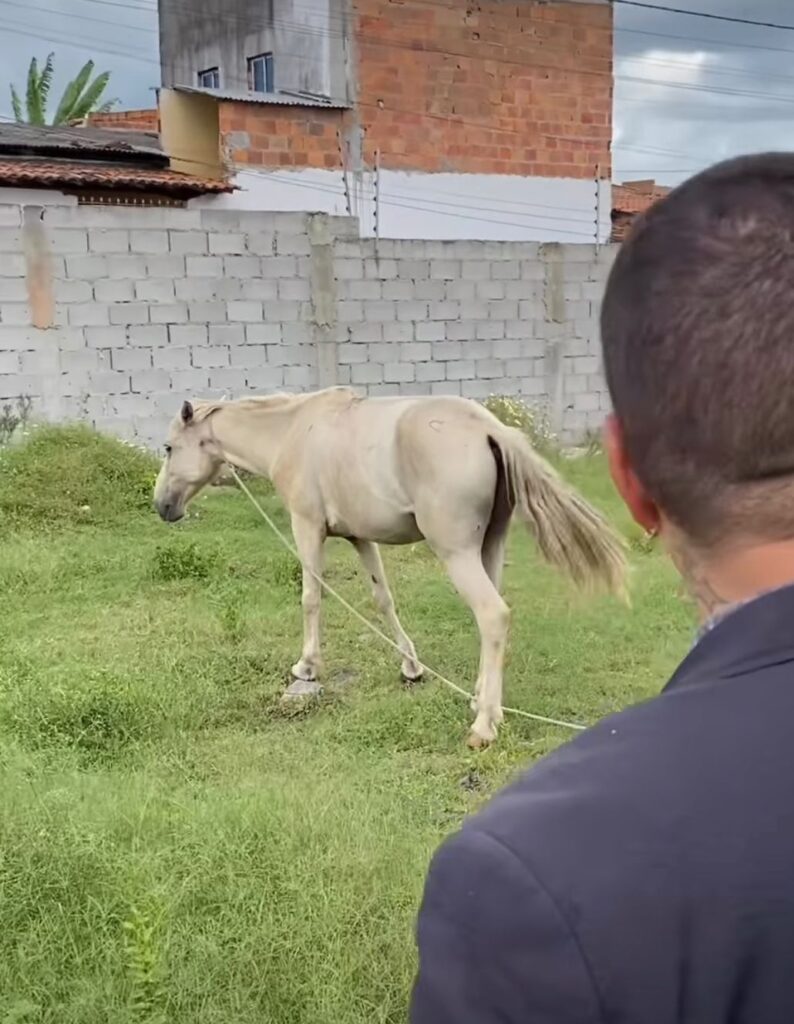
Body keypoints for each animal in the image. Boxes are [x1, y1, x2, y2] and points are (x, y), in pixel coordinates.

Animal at [153, 387, 627, 749]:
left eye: (169, 447)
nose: (163, 507)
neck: (293, 430)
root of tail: (489, 430)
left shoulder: (307, 527)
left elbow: (311, 596)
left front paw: (307, 666)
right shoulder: (360, 537)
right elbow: (383, 599)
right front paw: (411, 667)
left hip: (457, 553)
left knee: (493, 615)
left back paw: (484, 726)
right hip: (489, 548)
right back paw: (481, 701)